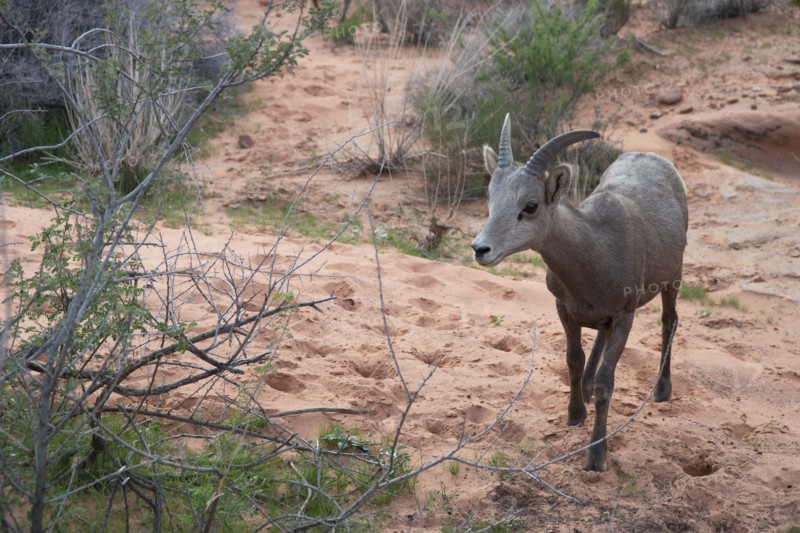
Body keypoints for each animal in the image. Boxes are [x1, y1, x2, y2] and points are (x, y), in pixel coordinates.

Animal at [471, 114, 688, 472]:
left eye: (530, 206)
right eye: (491, 199)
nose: (480, 249)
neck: (598, 250)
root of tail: (653, 157)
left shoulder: (624, 316)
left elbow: (606, 382)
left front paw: (596, 457)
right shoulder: (564, 307)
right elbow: (573, 359)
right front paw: (575, 415)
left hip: (674, 277)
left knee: (669, 320)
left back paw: (662, 391)